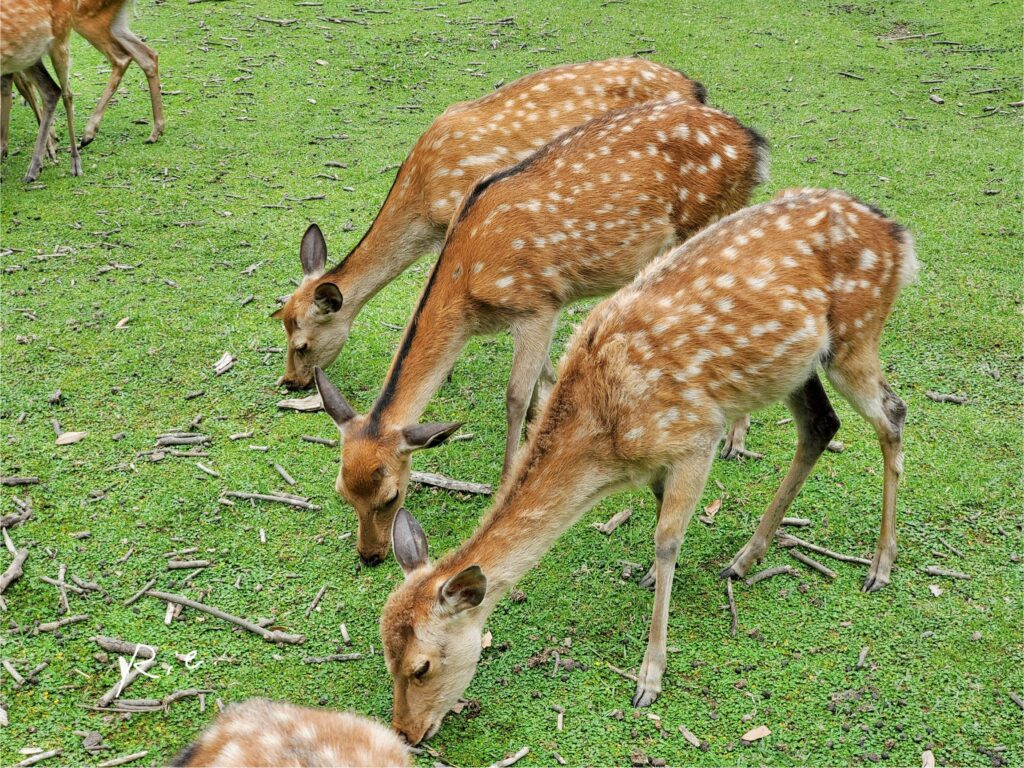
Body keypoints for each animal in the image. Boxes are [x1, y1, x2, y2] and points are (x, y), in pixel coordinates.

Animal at [1, 0, 82, 182]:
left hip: (60, 38)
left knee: (66, 94)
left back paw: (74, 162)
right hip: (27, 55)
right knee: (50, 89)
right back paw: (34, 167)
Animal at [273, 57, 707, 392]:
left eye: (302, 344)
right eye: (282, 324)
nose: (291, 382)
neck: (423, 201)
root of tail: (695, 87)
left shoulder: (459, 218)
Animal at [314, 98, 769, 566]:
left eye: (390, 495)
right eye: (343, 491)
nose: (370, 554)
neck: (468, 285)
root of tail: (752, 142)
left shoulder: (536, 302)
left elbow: (515, 394)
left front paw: (504, 477)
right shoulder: (539, 310)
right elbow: (544, 376)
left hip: (708, 218)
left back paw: (736, 438)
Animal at [380, 188, 918, 744]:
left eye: (421, 666)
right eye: (385, 656)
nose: (405, 732)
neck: (607, 449)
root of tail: (897, 236)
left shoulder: (697, 435)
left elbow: (667, 541)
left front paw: (649, 678)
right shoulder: (658, 463)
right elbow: (662, 524)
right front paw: (647, 582)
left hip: (855, 336)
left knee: (893, 414)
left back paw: (880, 565)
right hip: (795, 367)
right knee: (821, 425)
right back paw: (745, 558)